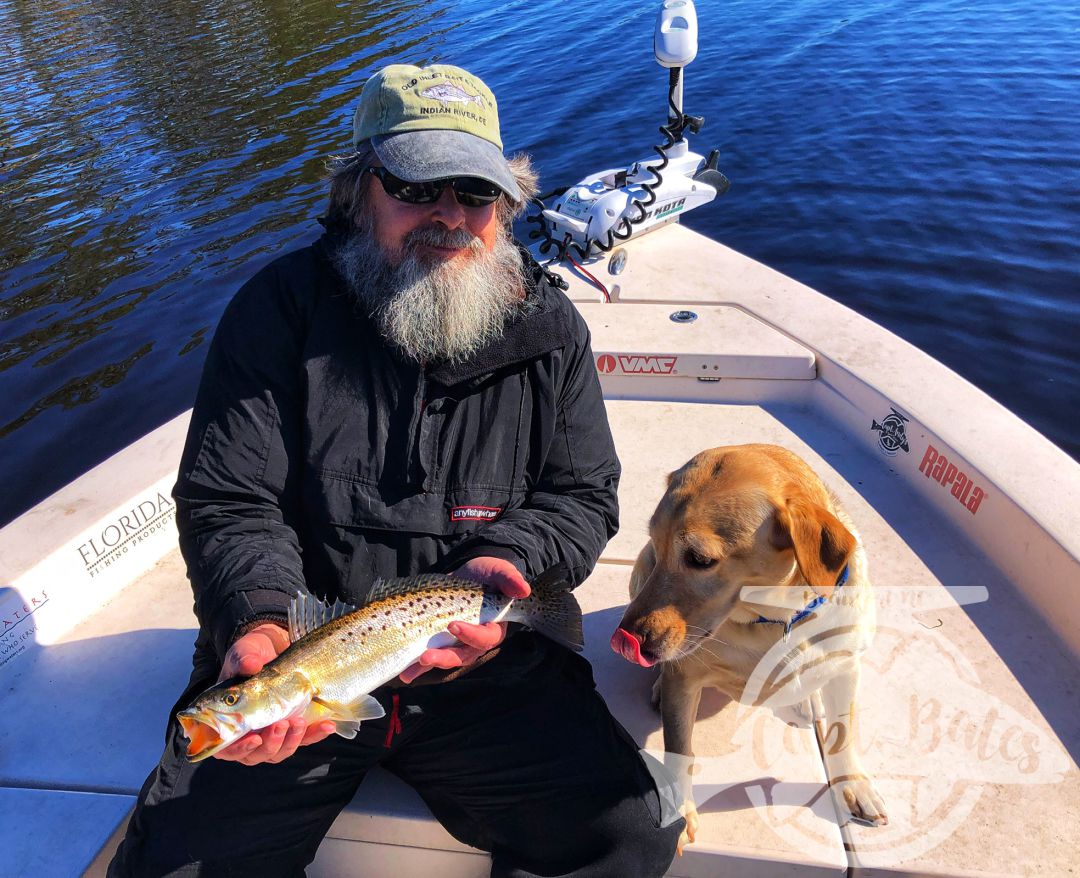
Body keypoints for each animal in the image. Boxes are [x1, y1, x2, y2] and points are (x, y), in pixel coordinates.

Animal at [613, 444, 889, 851]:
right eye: (659, 544)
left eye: (699, 559)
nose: (624, 639)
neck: (777, 620)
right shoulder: (686, 678)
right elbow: (680, 750)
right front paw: (680, 809)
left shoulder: (846, 666)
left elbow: (843, 736)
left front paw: (852, 785)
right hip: (639, 572)